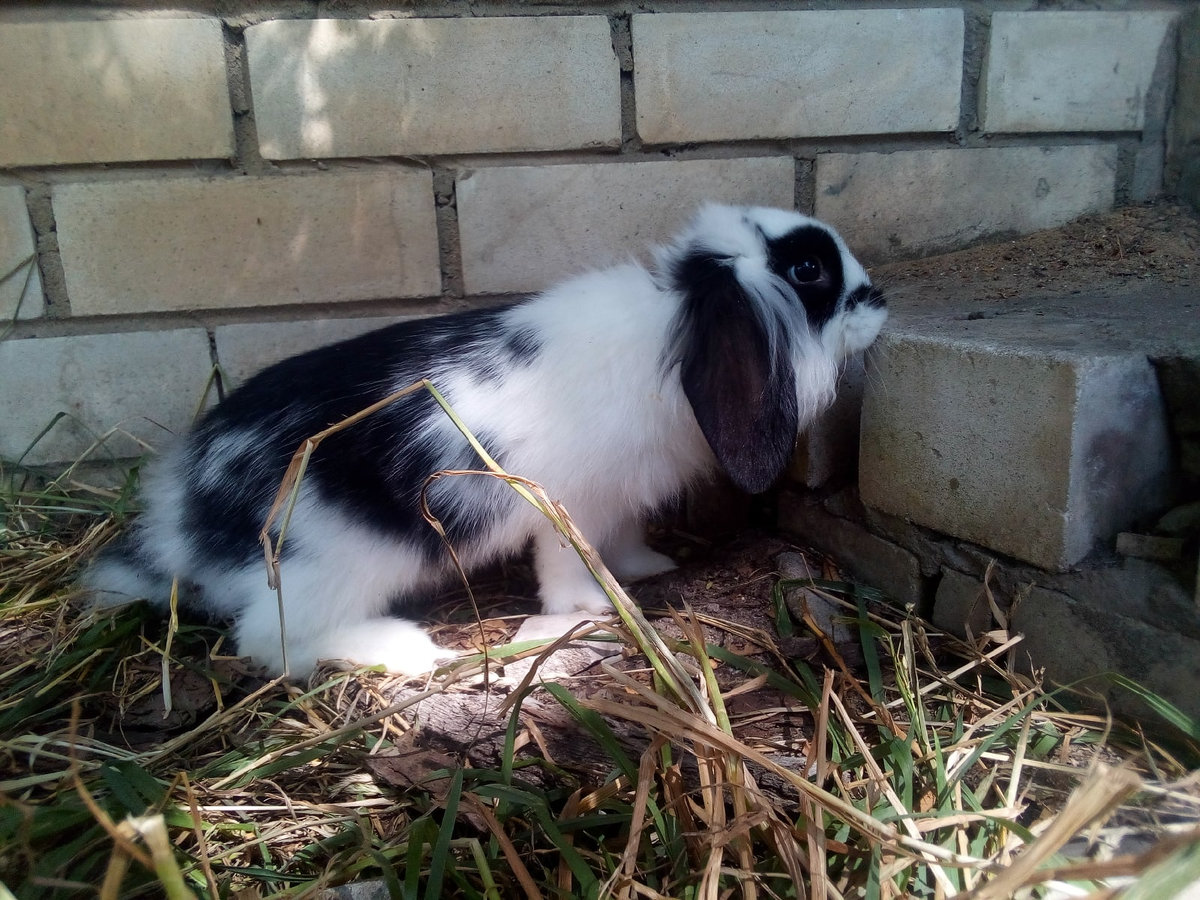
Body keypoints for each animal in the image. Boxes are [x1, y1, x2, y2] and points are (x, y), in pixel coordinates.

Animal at [84, 204, 888, 681]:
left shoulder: (617, 502)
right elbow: (569, 567)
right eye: (809, 271)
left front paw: (646, 568)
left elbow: (623, 541)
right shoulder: (568, 507)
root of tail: (189, 517)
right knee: (270, 640)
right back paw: (402, 650)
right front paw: (591, 610)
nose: (880, 302)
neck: (675, 334)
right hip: (332, 565)